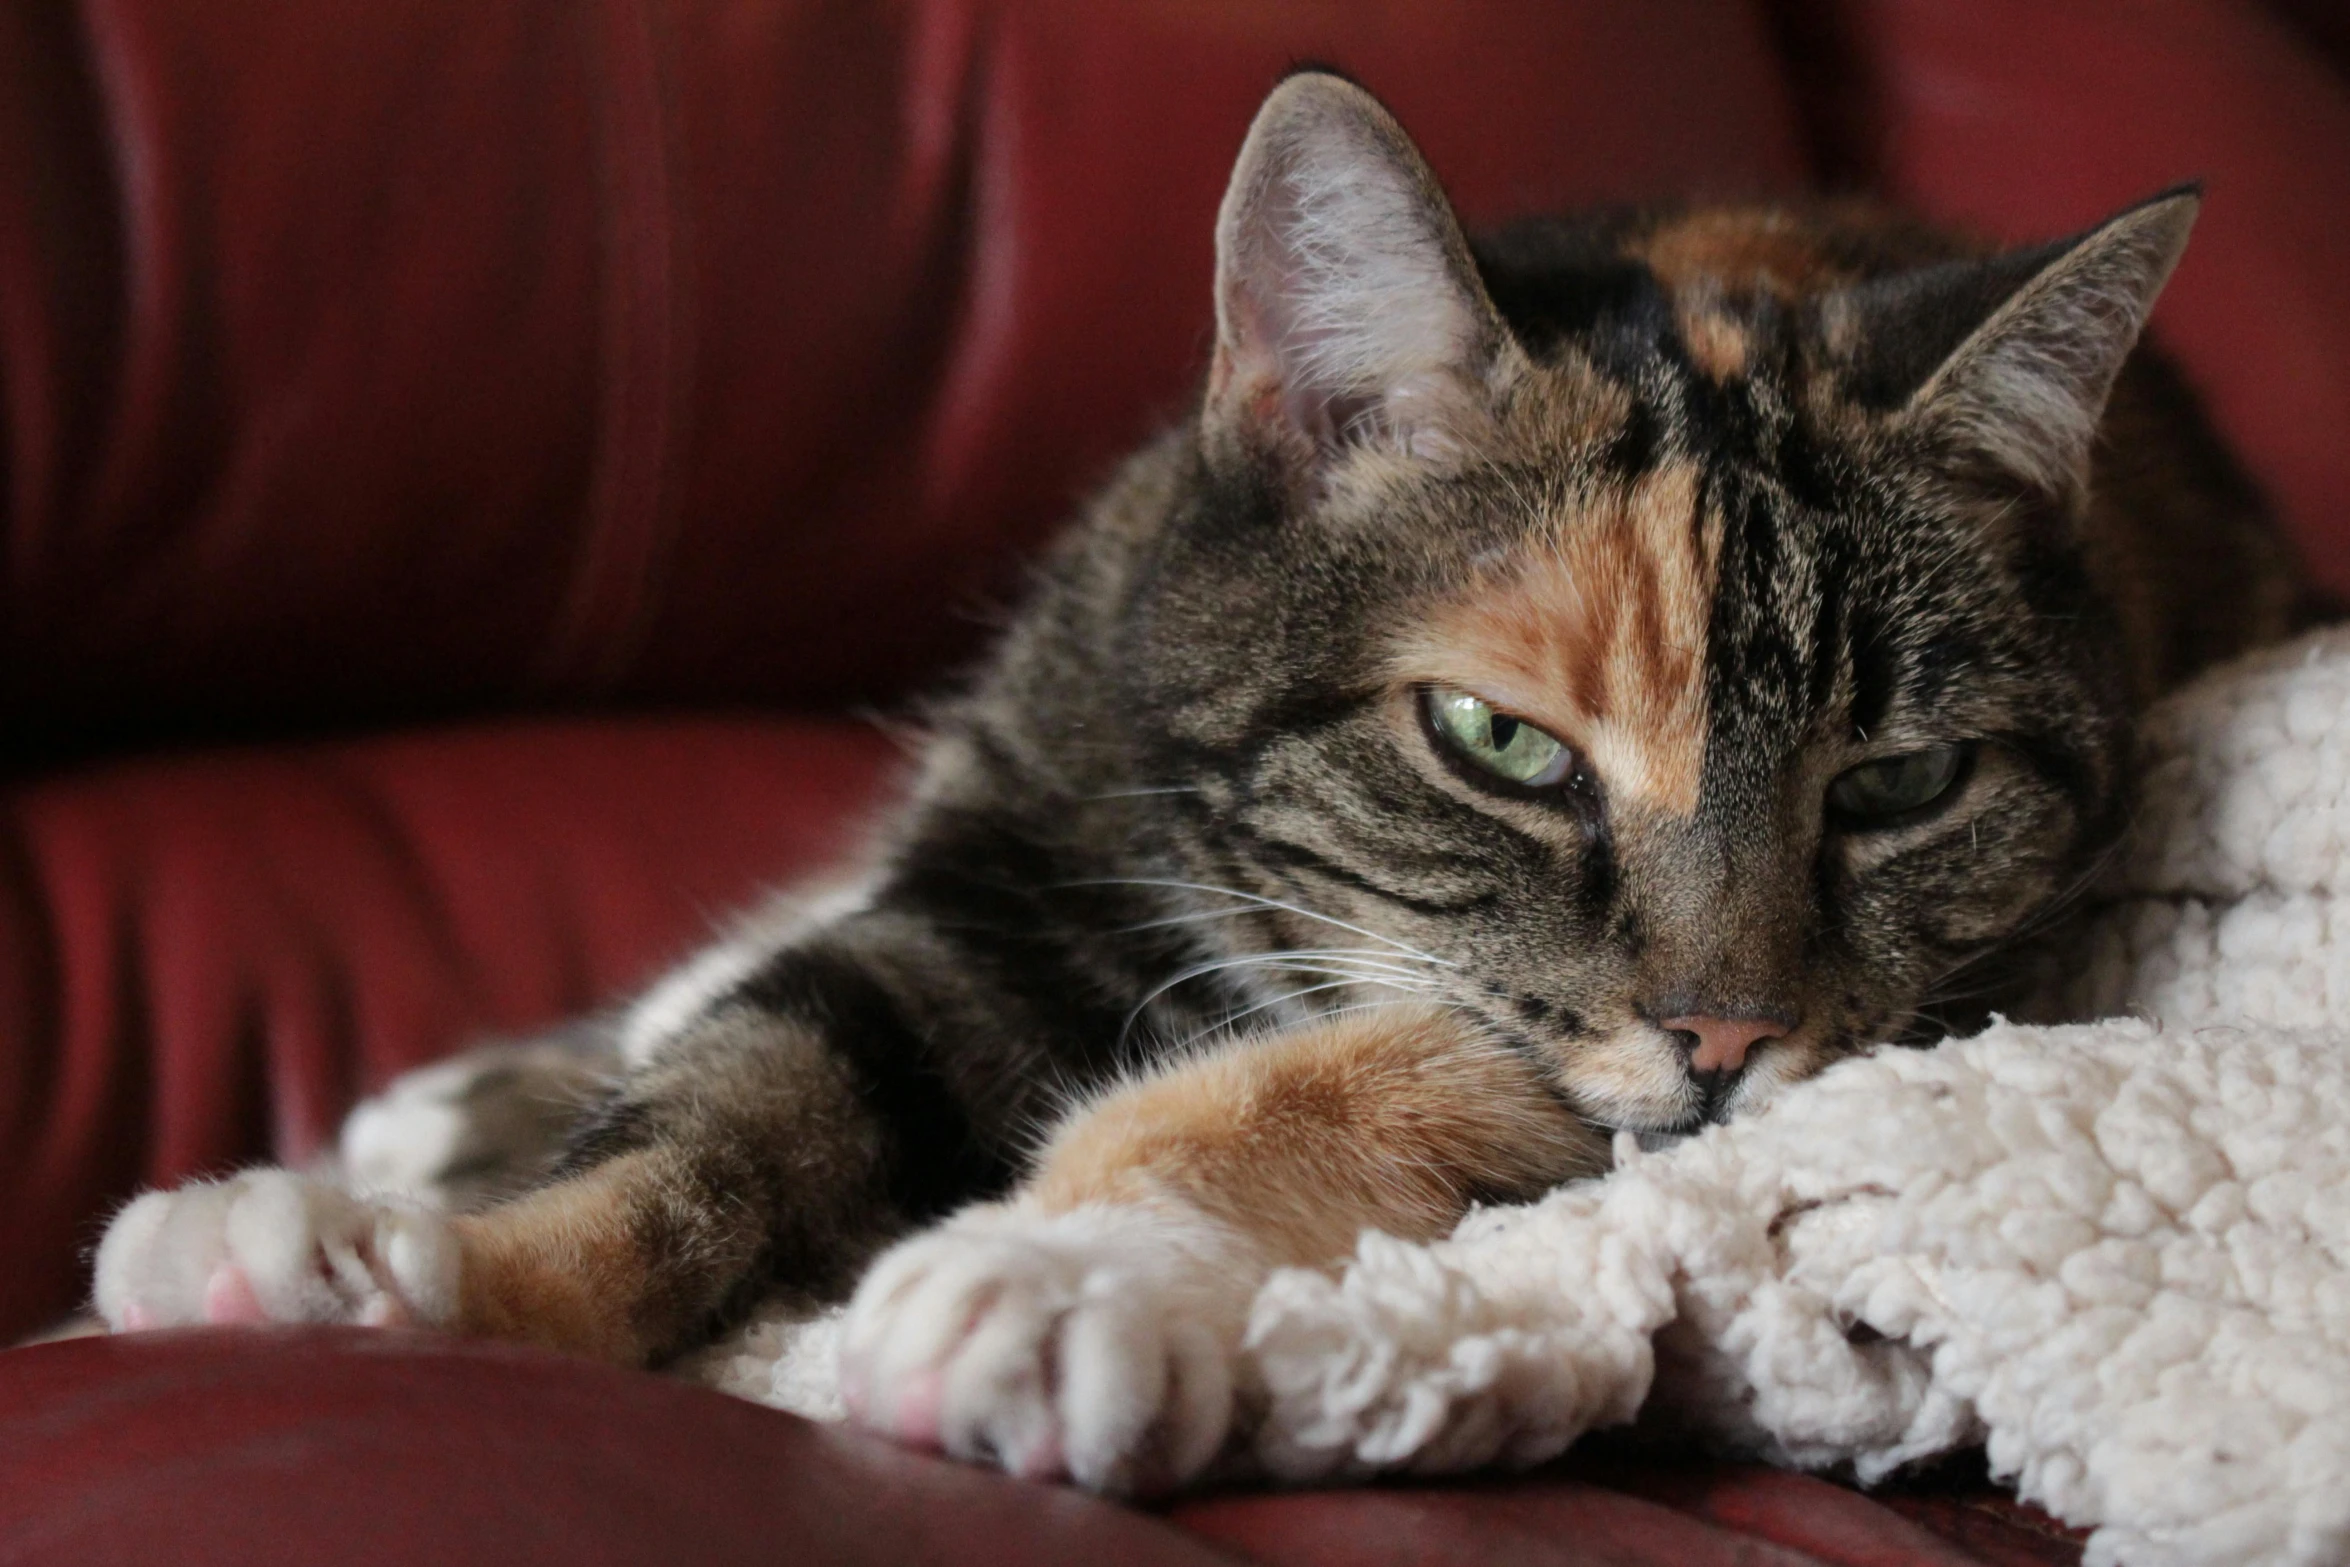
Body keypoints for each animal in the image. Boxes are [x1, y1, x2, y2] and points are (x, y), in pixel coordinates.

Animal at [91, 73, 2293, 1494]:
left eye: (1901, 779)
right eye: (1499, 742)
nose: (1733, 1030)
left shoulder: (1868, 1024)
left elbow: (1357, 1079)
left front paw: (1039, 1273)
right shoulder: (1010, 859)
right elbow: (743, 1082)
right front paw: (409, 1268)